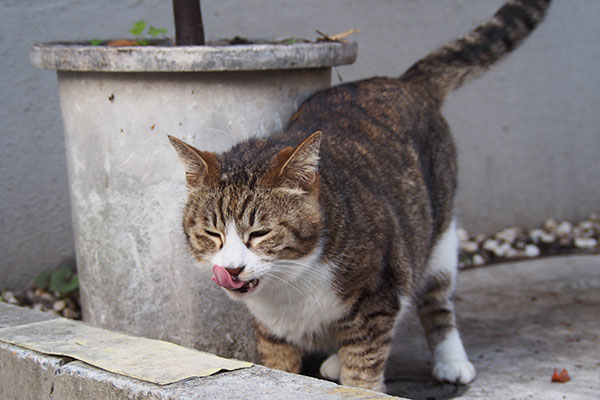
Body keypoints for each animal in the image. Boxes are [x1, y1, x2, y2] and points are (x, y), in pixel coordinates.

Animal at [168, 0, 548, 392]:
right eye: (212, 234)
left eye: (259, 233)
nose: (231, 269)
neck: (290, 286)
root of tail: (402, 83)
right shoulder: (272, 329)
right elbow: (278, 365)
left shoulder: (378, 296)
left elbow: (365, 363)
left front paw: (360, 386)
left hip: (438, 236)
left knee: (437, 298)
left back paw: (450, 361)